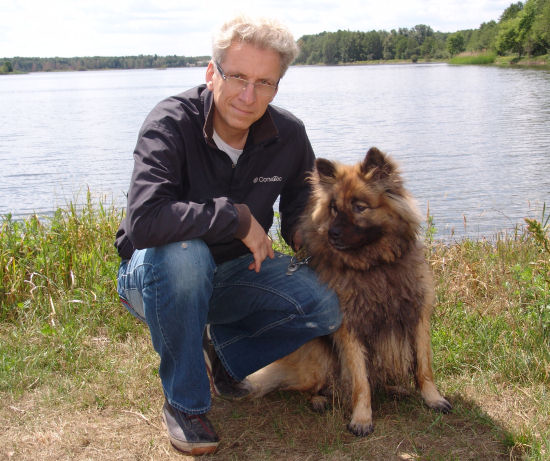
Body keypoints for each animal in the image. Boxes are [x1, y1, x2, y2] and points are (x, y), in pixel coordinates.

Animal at [248, 147, 452, 436]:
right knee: (309, 387)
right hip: (318, 361)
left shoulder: (417, 316)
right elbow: (360, 380)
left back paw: (395, 388)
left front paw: (433, 398)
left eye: (359, 207)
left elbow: (423, 366)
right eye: (334, 208)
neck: (372, 266)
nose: (332, 234)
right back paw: (320, 399)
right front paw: (362, 418)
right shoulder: (350, 329)